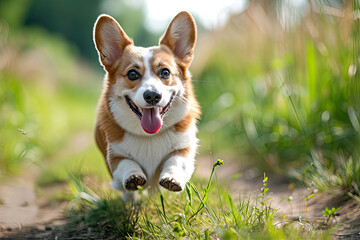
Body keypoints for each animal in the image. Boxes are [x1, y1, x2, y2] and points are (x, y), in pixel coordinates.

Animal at [93, 10, 200, 201]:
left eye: (165, 72)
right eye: (132, 74)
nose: (152, 96)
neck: (149, 136)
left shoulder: (184, 148)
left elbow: (176, 161)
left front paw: (172, 178)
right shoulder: (114, 156)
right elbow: (126, 164)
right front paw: (133, 177)